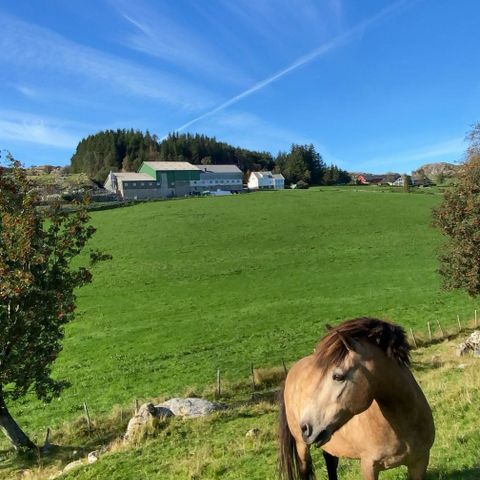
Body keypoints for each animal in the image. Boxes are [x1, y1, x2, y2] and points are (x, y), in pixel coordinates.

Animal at [278, 316, 436, 478]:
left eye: (338, 376)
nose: (306, 427)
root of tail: (290, 372)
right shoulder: (369, 466)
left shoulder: (420, 462)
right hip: (301, 445)